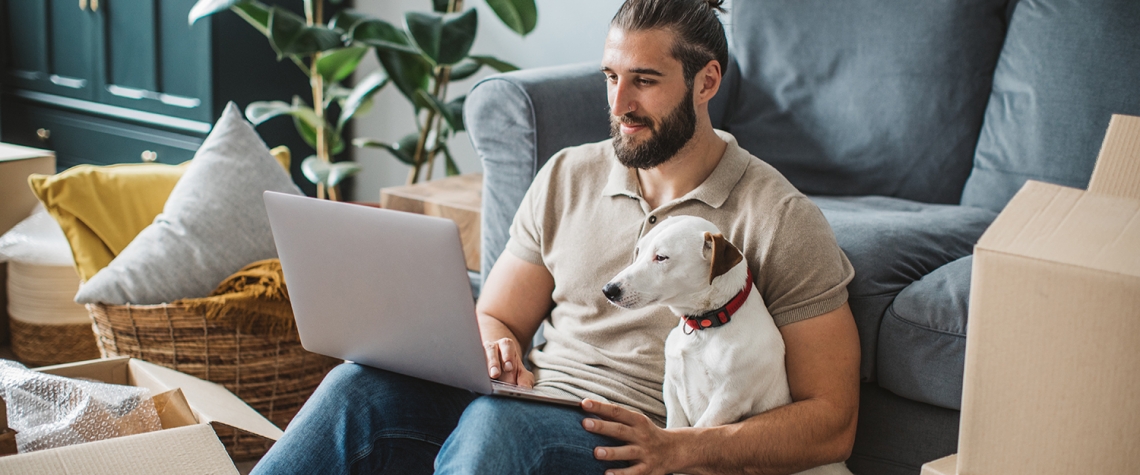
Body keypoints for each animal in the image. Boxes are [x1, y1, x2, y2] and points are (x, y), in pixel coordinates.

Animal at [601, 215, 852, 473]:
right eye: (639, 251)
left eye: (661, 257)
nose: (608, 290)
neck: (706, 325)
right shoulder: (671, 385)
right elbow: (675, 425)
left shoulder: (728, 400)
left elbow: (697, 431)